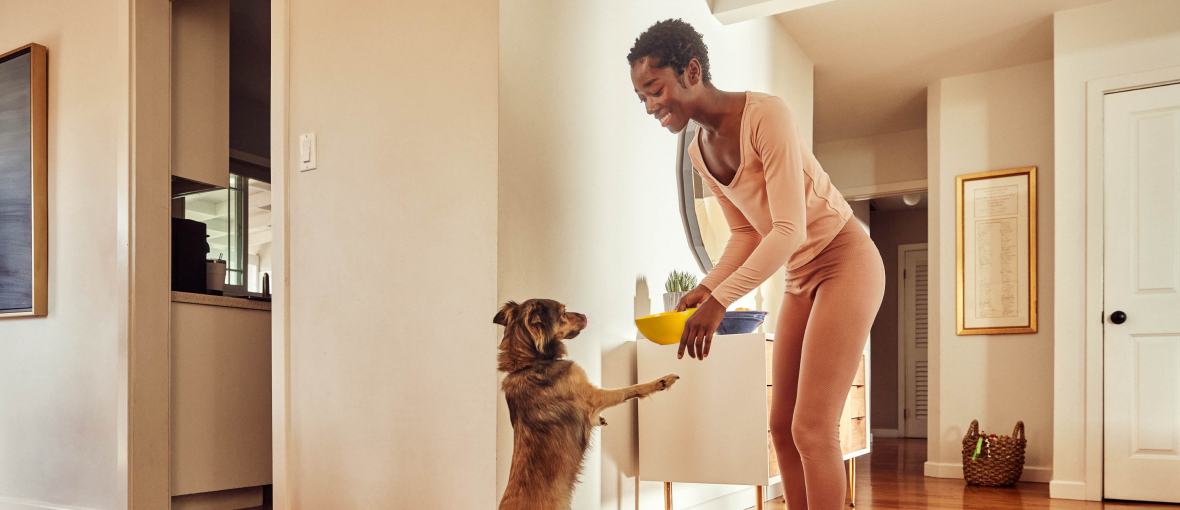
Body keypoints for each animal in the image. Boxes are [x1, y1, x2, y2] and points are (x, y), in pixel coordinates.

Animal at [493, 298, 679, 510]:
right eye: (563, 312)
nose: (584, 315)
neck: (528, 364)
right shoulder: (594, 397)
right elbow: (629, 389)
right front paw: (662, 381)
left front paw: (600, 420)